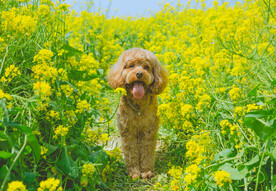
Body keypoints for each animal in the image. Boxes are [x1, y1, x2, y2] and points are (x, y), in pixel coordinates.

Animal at [107, 47, 168, 179]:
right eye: (131, 66)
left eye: (146, 67)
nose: (139, 73)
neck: (138, 106)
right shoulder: (128, 131)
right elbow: (131, 153)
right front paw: (134, 172)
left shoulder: (149, 130)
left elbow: (147, 151)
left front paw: (146, 171)